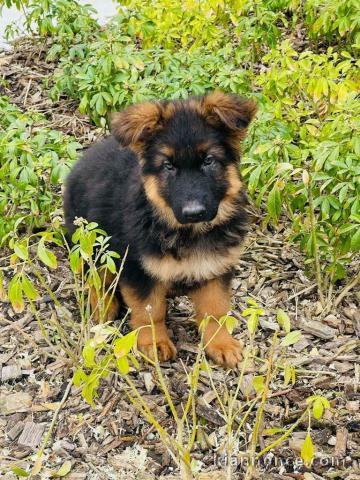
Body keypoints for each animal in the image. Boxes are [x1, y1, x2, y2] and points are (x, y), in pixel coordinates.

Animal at [64, 91, 256, 368]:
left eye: (209, 161)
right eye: (168, 166)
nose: (194, 212)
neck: (188, 232)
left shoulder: (216, 265)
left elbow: (214, 310)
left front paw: (220, 343)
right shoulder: (137, 268)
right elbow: (150, 311)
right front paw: (154, 342)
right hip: (92, 243)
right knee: (96, 278)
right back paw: (103, 306)